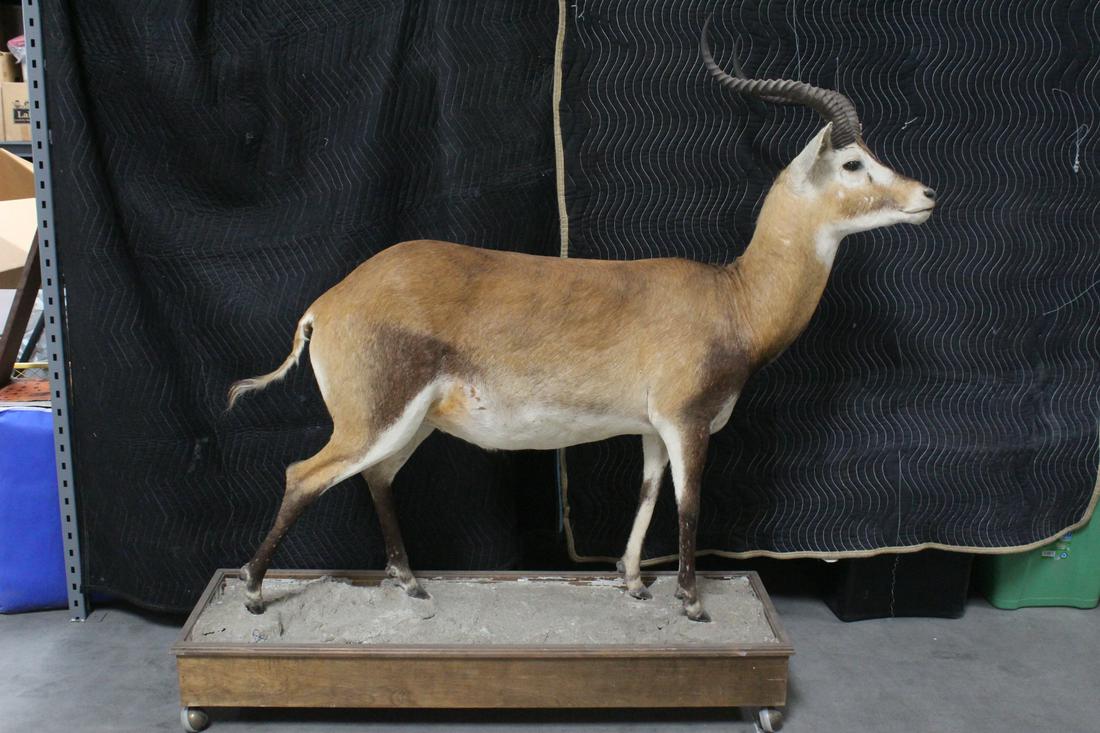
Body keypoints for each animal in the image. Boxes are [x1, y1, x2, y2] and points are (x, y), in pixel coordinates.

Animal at [228, 21, 936, 622]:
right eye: (853, 163)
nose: (927, 195)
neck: (732, 296)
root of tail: (326, 304)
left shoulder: (652, 427)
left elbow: (647, 493)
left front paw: (633, 581)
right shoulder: (688, 422)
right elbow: (689, 503)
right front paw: (691, 602)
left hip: (410, 424)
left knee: (376, 478)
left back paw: (409, 583)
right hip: (372, 421)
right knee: (303, 476)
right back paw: (256, 594)